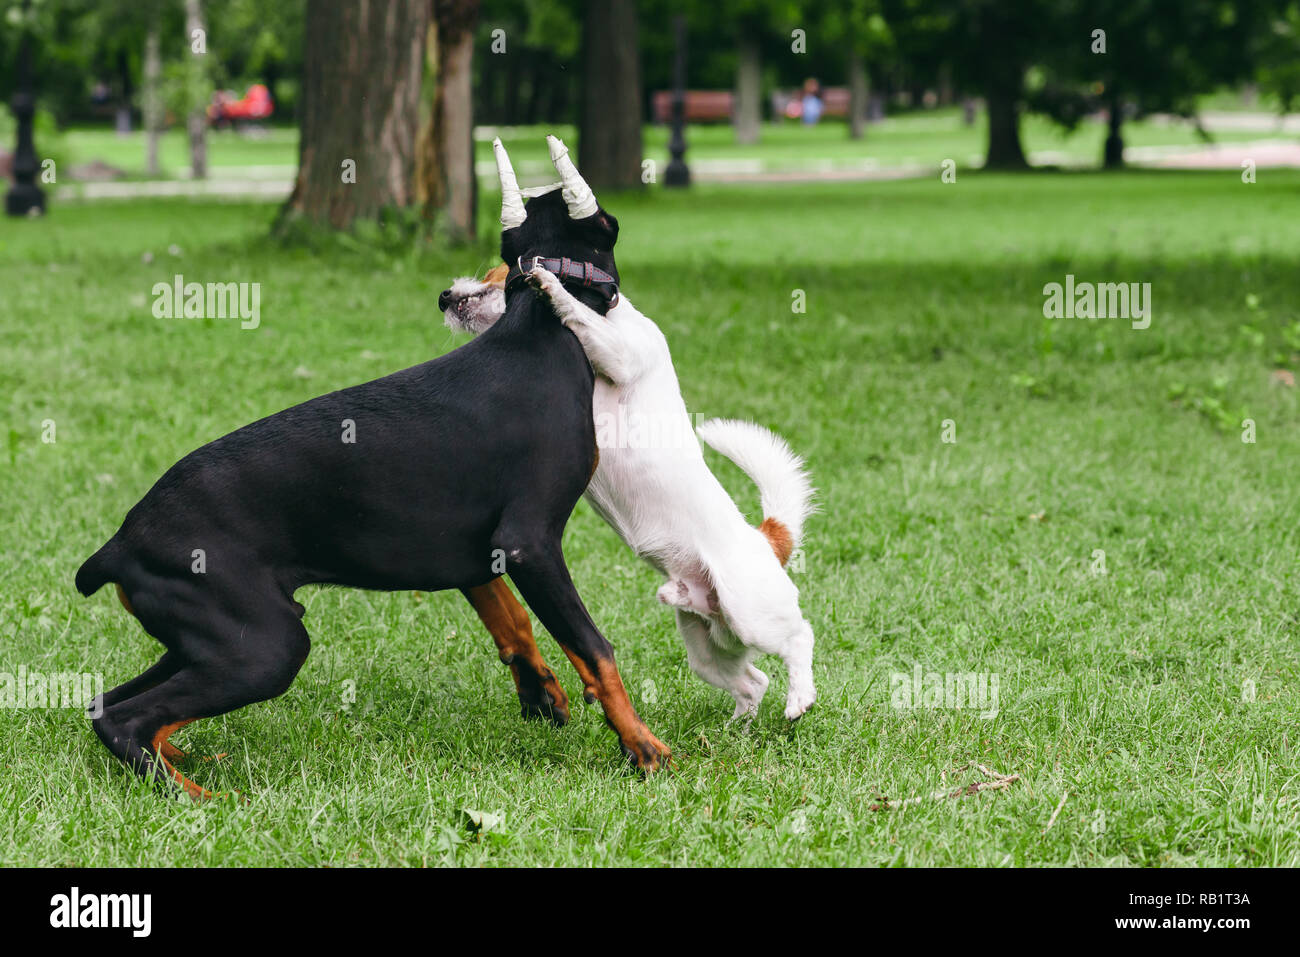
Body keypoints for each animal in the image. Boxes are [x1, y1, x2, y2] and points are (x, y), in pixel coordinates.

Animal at [76, 140, 670, 800]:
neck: (537, 332)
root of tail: (119, 545)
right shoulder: (530, 543)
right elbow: (595, 648)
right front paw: (643, 748)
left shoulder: (471, 550)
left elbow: (512, 621)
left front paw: (541, 692)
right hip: (265, 646)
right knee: (126, 719)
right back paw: (201, 796)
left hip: (210, 639)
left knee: (106, 705)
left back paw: (186, 760)